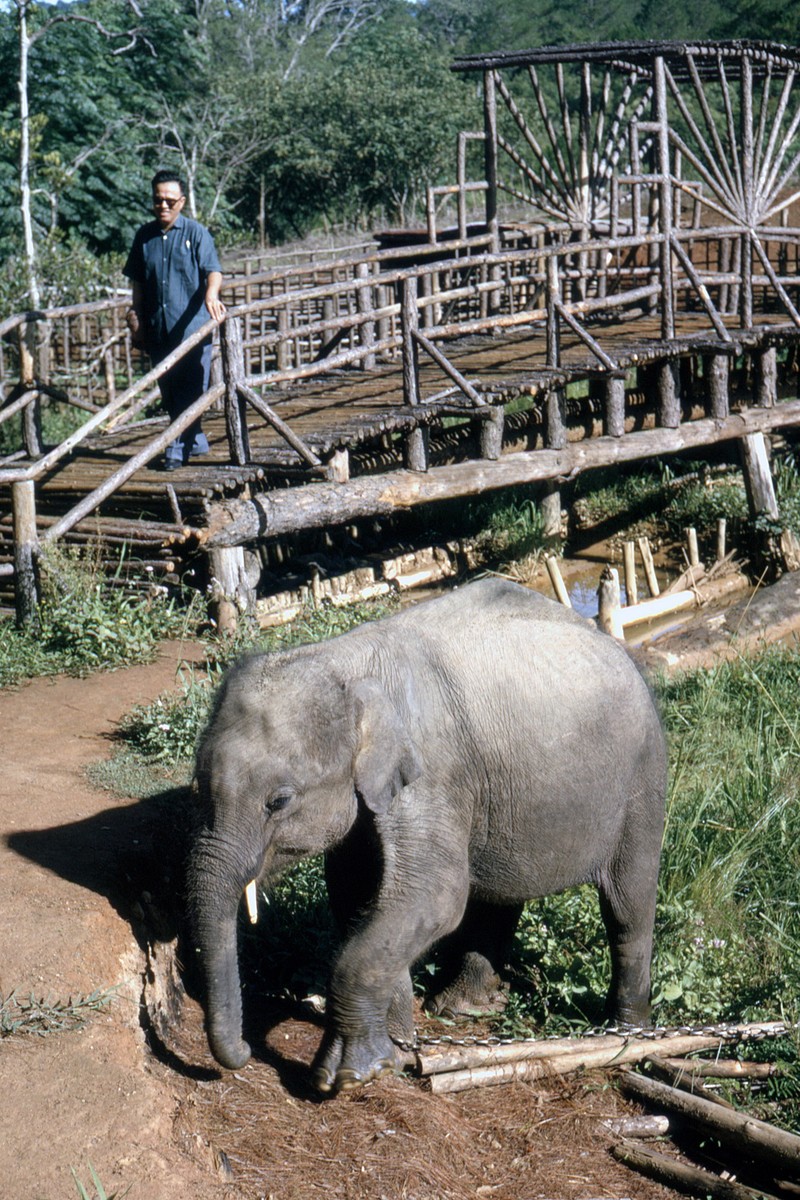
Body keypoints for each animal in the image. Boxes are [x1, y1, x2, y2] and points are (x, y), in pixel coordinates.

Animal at [185, 576, 662, 1094]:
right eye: (197, 786)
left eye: (279, 801)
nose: (241, 1054)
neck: (343, 660)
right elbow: (360, 896)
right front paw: (394, 1052)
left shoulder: (432, 773)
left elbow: (432, 897)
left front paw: (345, 1076)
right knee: (499, 892)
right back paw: (461, 1008)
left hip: (641, 781)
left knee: (627, 906)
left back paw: (625, 1033)